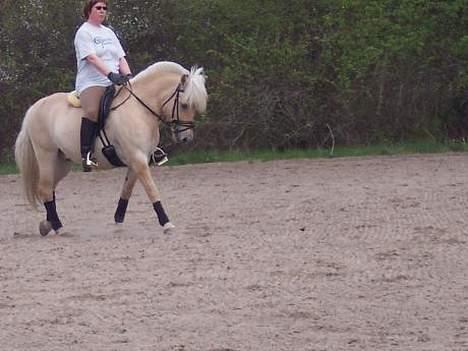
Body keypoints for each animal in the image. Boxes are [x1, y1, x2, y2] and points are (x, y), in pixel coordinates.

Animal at [15, 61, 208, 236]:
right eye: (184, 105)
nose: (186, 138)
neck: (139, 109)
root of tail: (34, 108)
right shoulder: (138, 159)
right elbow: (151, 189)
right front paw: (166, 223)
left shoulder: (138, 160)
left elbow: (127, 190)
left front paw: (118, 221)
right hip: (46, 155)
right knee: (45, 188)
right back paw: (58, 227)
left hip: (62, 162)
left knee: (48, 189)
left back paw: (47, 225)